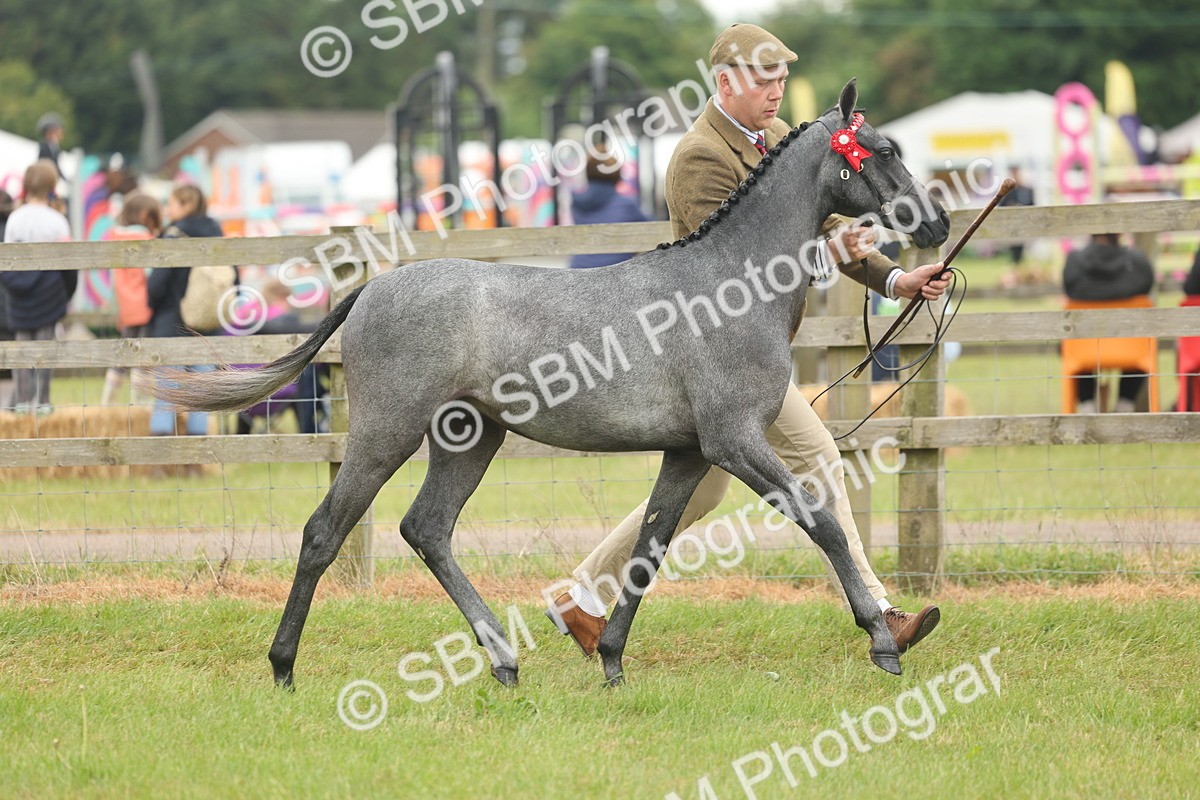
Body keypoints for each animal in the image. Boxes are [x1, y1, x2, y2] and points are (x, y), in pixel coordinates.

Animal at [144, 79, 951, 690]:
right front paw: (882, 640)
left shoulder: (691, 452)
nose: (938, 224)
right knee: (324, 532)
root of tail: (371, 287)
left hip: (469, 438)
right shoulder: (733, 440)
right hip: (385, 431)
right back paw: (284, 666)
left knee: (426, 529)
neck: (728, 288)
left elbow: (650, 544)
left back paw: (503, 661)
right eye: (882, 151)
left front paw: (612, 659)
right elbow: (820, 520)